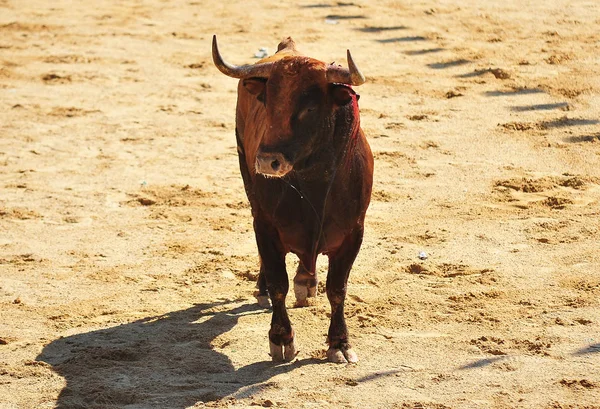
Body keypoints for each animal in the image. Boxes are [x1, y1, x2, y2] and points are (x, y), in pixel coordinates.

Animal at [211, 34, 370, 360]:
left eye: (309, 107)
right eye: (267, 101)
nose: (266, 161)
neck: (314, 184)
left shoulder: (354, 232)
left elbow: (338, 289)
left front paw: (340, 343)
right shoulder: (265, 226)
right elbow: (278, 285)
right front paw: (281, 338)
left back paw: (306, 280)